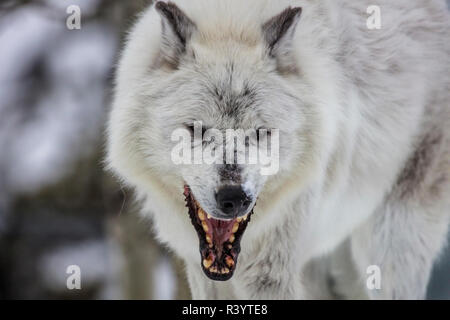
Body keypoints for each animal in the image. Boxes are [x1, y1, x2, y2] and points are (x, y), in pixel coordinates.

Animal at [108, 0, 450, 300]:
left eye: (261, 133)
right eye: (198, 130)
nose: (233, 198)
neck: (231, 21)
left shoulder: (270, 271)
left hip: (390, 242)